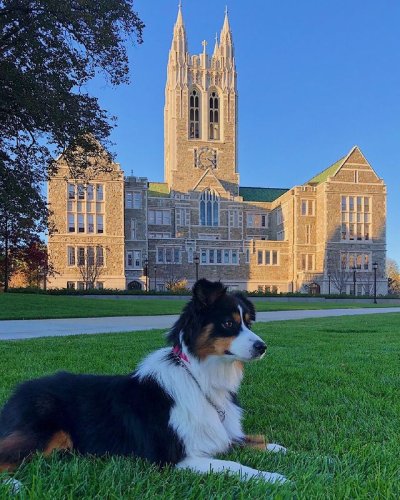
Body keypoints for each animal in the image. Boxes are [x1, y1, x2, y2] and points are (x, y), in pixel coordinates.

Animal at [0, 278, 288, 484]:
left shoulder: (220, 434)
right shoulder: (176, 458)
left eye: (249, 323)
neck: (199, 377)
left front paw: (282, 449)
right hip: (44, 434)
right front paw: (275, 477)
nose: (263, 347)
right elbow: (235, 466)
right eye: (228, 323)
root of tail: (19, 391)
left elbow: (251, 439)